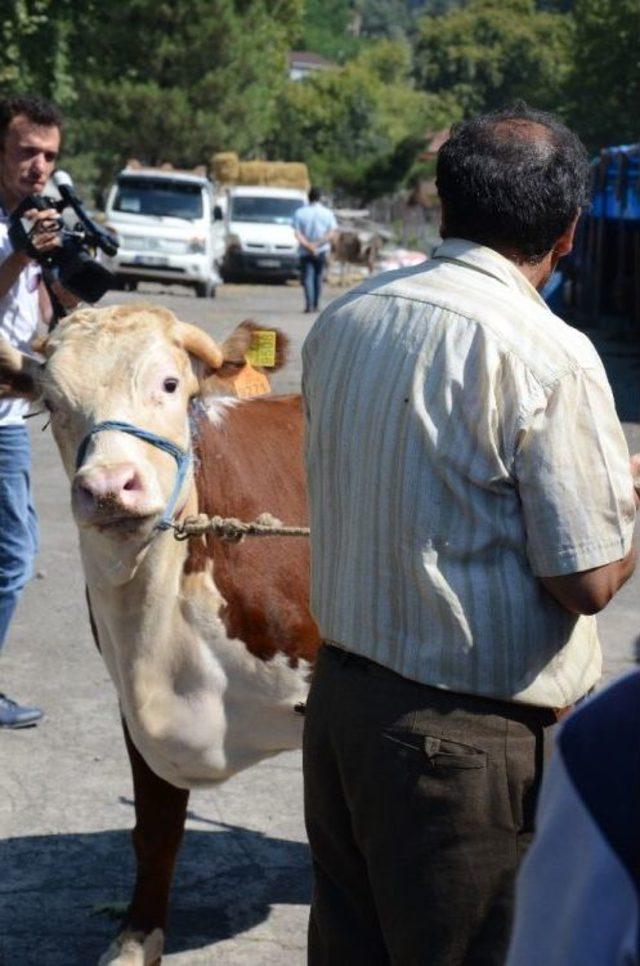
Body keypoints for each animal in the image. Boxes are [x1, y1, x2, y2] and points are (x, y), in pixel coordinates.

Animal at [0, 304, 320, 966]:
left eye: (170, 384)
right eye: (52, 402)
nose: (107, 487)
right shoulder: (133, 699)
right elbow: (154, 830)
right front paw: (135, 937)